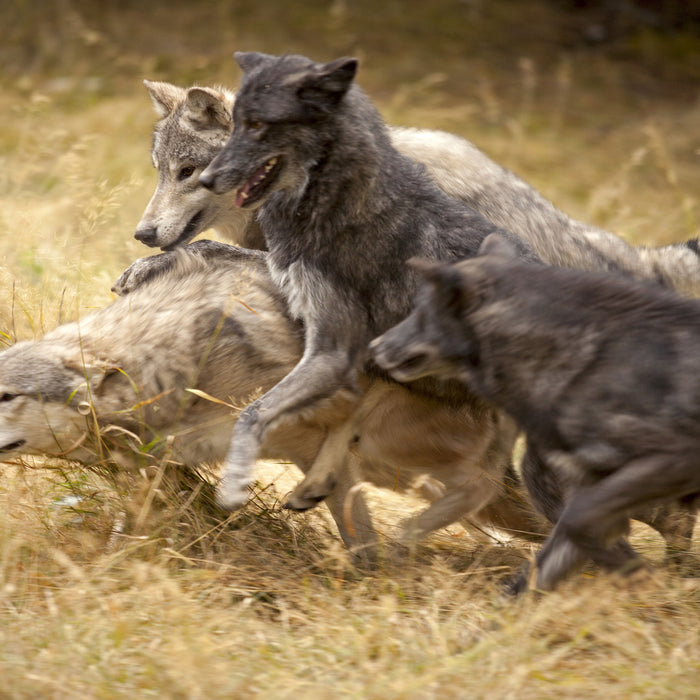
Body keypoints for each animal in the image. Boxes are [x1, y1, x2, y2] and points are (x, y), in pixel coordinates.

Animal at [0, 249, 548, 548]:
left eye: (5, 395)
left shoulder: (306, 439)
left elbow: (359, 537)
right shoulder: (166, 468)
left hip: (385, 437)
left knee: (480, 487)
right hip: (394, 467)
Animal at [193, 52, 536, 508]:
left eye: (259, 125)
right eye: (236, 125)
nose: (205, 179)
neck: (337, 199)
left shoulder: (330, 352)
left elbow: (251, 414)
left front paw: (233, 486)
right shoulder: (326, 334)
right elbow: (212, 249)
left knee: (485, 485)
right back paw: (315, 488)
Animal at [372, 235, 700, 592]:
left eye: (420, 311)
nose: (375, 346)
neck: (584, 360)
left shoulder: (674, 459)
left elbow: (578, 524)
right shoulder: (588, 487)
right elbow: (540, 568)